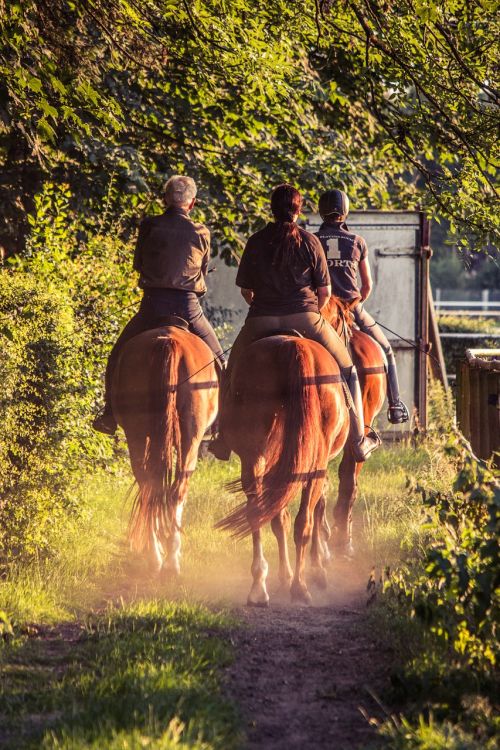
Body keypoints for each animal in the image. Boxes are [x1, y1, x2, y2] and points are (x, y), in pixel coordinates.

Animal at [112, 326, 218, 580]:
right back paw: (169, 560)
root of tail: (169, 342)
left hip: (138, 434)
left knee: (150, 487)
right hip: (190, 439)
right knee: (174, 490)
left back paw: (157, 558)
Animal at [215, 332, 352, 608]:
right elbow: (313, 511)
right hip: (313, 467)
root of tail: (293, 346)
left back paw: (259, 587)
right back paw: (300, 587)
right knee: (303, 522)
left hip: (255, 460)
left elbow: (279, 521)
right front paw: (316, 569)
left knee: (258, 514)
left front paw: (286, 575)